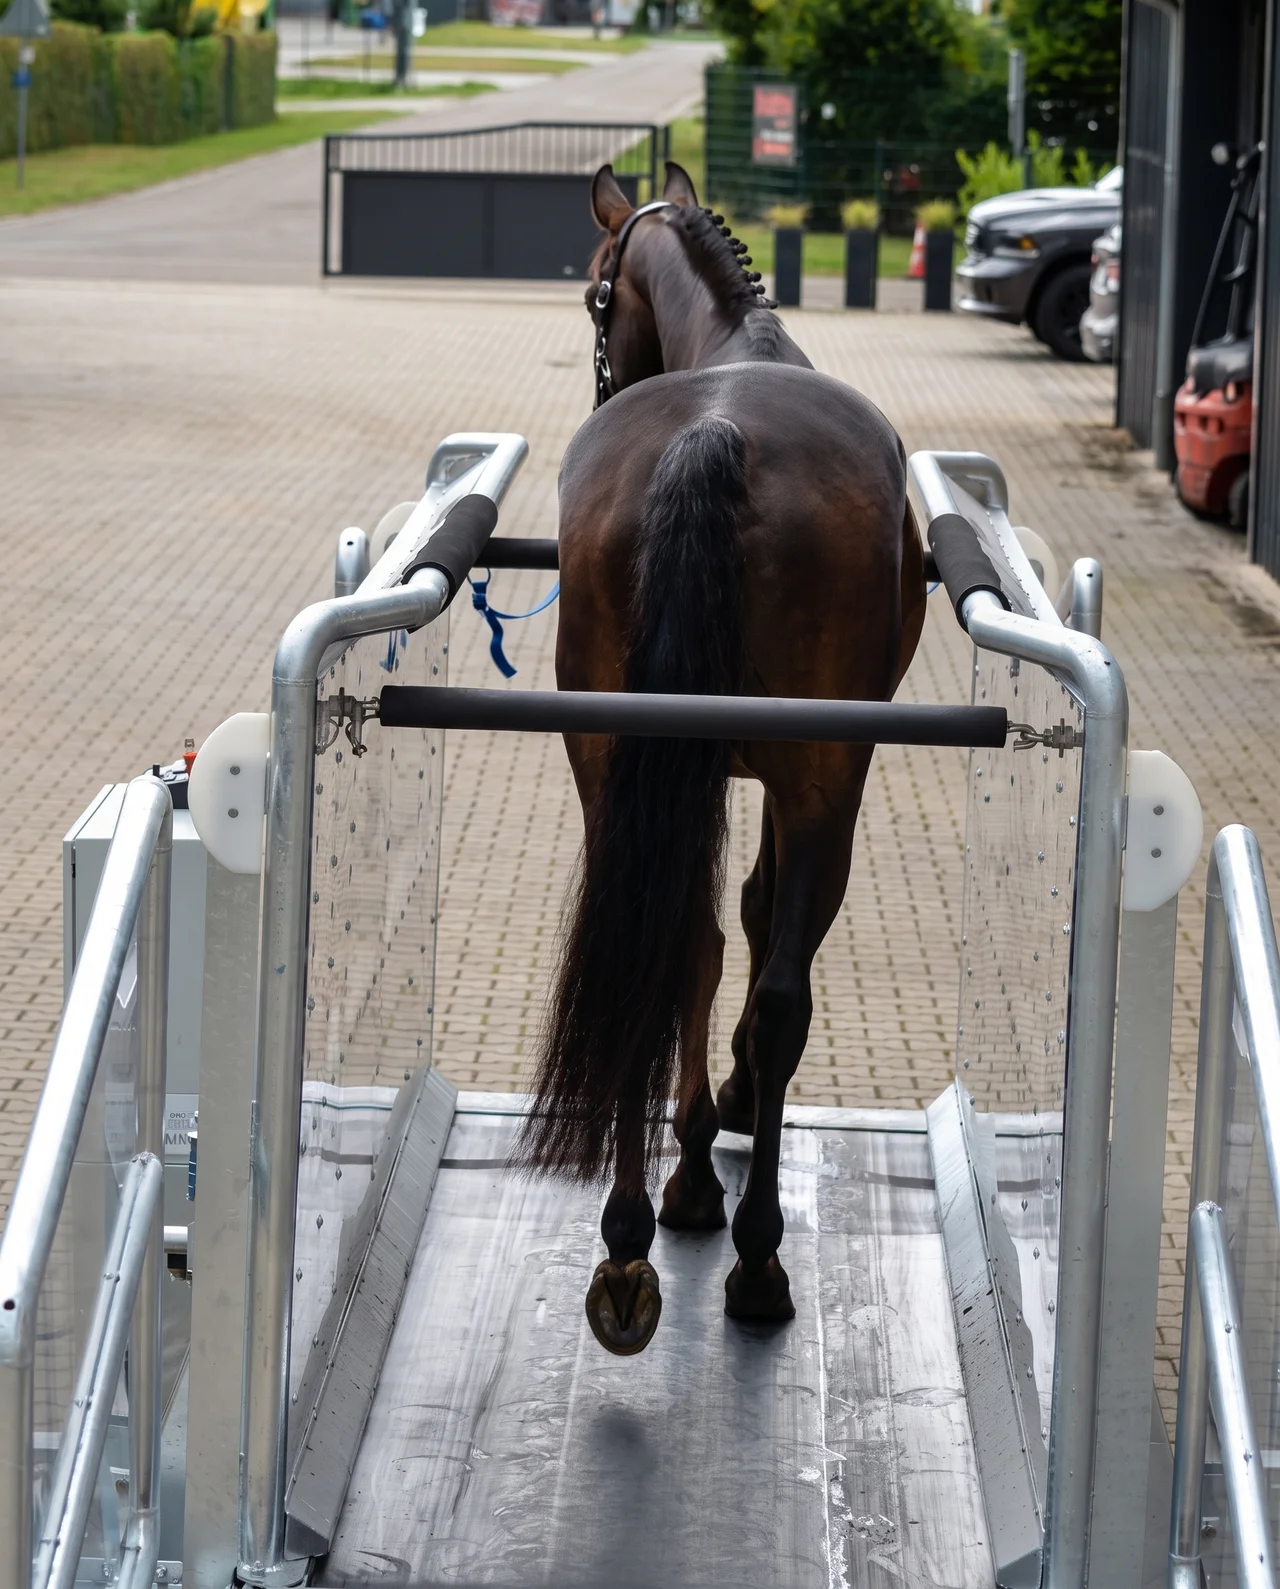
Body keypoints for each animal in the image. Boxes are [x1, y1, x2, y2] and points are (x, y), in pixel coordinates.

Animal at [518, 160, 927, 1356]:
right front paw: (730, 1117)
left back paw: (626, 1237)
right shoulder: (800, 784)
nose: (599, 379)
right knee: (781, 983)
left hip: (610, 761)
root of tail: (717, 437)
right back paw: (753, 1251)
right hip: (825, 775)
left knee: (662, 944)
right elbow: (757, 921)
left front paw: (692, 1155)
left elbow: (706, 936)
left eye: (591, 297)